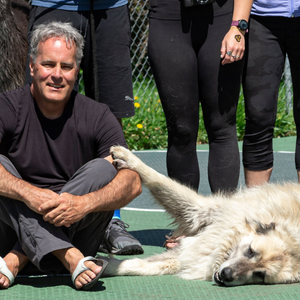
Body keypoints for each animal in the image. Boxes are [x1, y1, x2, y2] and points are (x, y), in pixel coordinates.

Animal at [101, 146, 300, 288]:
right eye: (251, 251)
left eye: (260, 275)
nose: (227, 275)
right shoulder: (203, 213)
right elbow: (158, 179)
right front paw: (127, 157)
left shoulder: (195, 253)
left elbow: (143, 266)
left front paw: (107, 267)